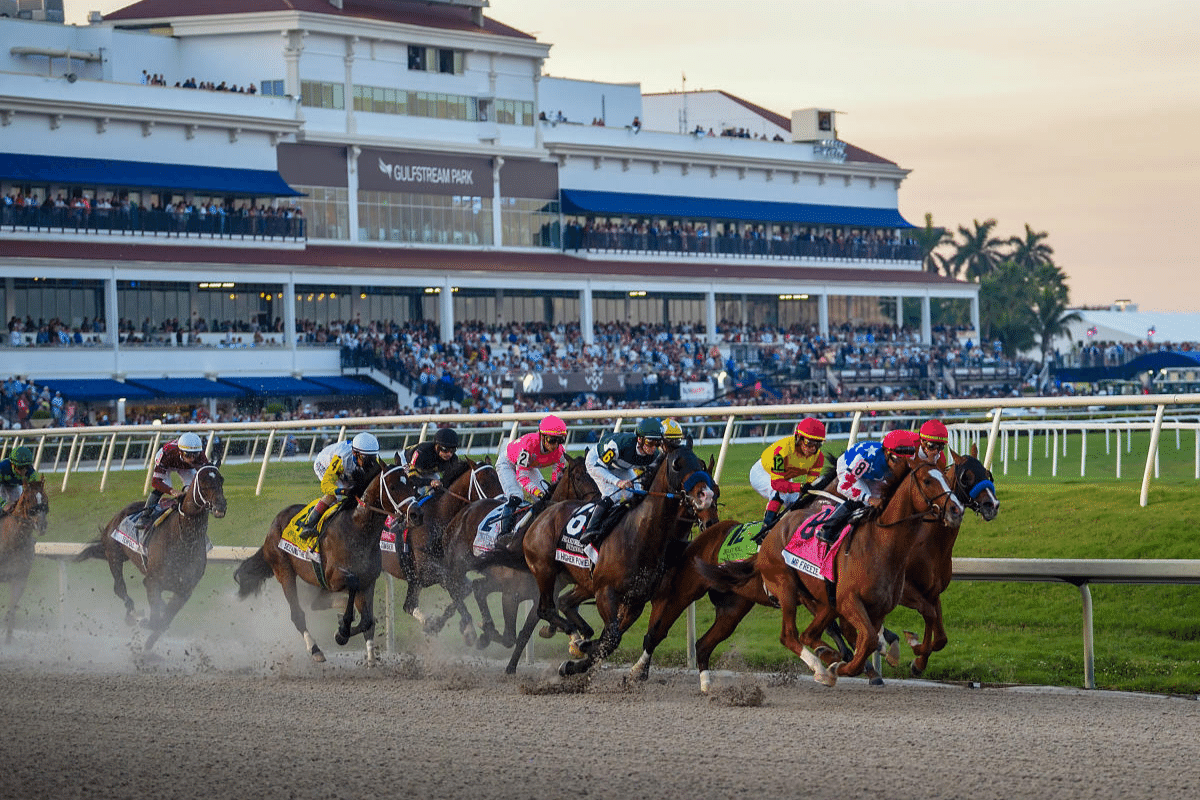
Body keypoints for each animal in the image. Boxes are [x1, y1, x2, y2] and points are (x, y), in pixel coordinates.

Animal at [0, 474, 49, 642]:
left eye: (46, 499)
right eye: (28, 499)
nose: (42, 525)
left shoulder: (19, 578)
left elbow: (11, 609)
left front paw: (8, 640)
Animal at [78, 462, 226, 652]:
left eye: (221, 479)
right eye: (202, 481)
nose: (220, 506)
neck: (183, 539)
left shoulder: (184, 591)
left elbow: (163, 621)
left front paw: (148, 645)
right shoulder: (152, 582)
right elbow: (156, 617)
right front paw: (145, 622)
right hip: (114, 554)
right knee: (119, 588)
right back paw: (132, 614)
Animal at [232, 460, 412, 666]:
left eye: (411, 483)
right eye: (393, 486)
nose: (416, 512)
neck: (357, 529)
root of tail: (274, 523)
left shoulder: (369, 580)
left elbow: (368, 620)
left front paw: (367, 653)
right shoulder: (334, 577)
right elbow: (353, 585)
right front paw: (342, 631)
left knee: (317, 603)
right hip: (284, 570)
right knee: (298, 614)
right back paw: (315, 649)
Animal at [700, 462, 960, 690]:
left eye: (948, 479)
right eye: (927, 481)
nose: (956, 509)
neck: (881, 544)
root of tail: (770, 536)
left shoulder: (877, 609)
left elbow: (869, 640)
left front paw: (904, 653)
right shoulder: (849, 601)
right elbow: (867, 640)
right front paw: (843, 667)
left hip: (821, 601)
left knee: (809, 633)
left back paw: (827, 656)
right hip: (785, 586)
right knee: (790, 635)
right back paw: (822, 667)